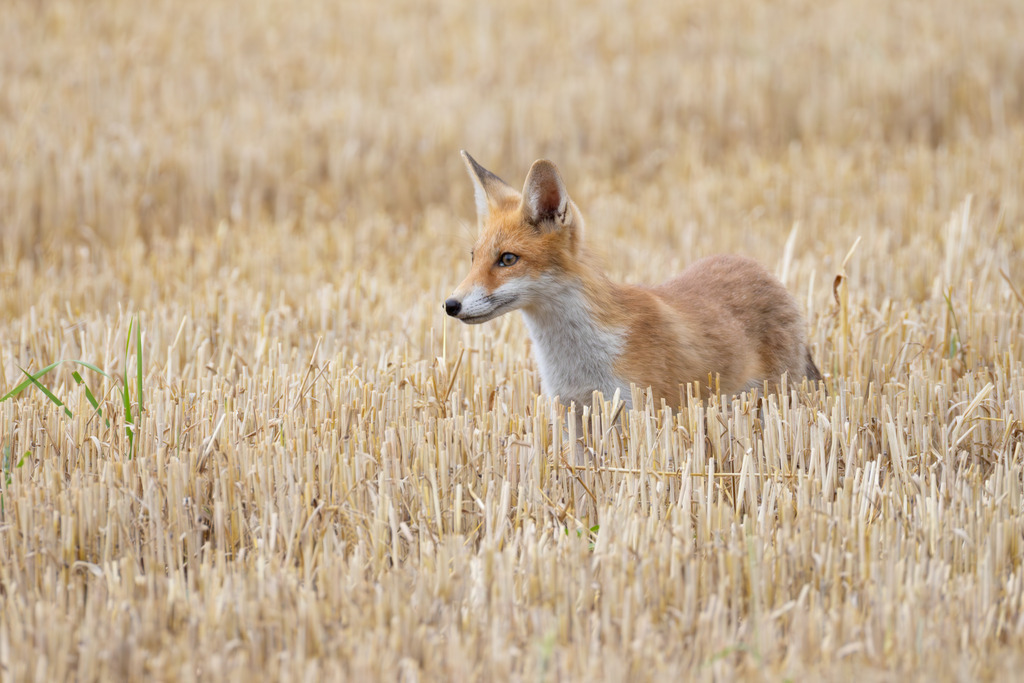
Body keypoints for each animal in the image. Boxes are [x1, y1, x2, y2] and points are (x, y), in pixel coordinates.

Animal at [444, 151, 822, 410]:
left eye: (507, 259)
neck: (577, 358)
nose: (450, 304)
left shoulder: (642, 409)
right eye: (474, 257)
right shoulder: (572, 411)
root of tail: (762, 270)